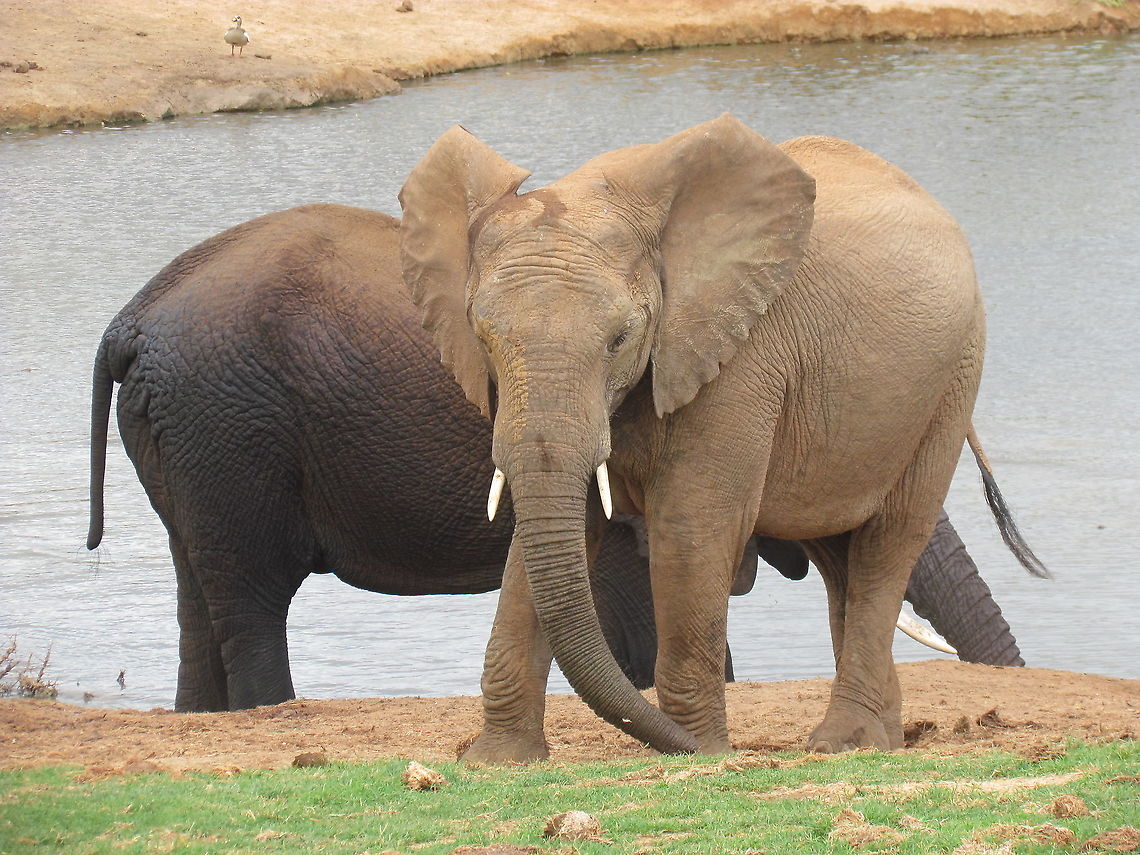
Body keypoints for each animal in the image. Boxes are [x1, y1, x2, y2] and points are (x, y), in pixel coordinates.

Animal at [398, 115, 1047, 761]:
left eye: (619, 340)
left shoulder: (741, 355)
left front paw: (704, 751)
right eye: (483, 337)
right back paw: (875, 743)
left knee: (887, 544)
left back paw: (842, 743)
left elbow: (692, 525)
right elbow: (555, 537)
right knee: (840, 559)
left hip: (952, 377)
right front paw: (499, 761)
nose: (698, 747)